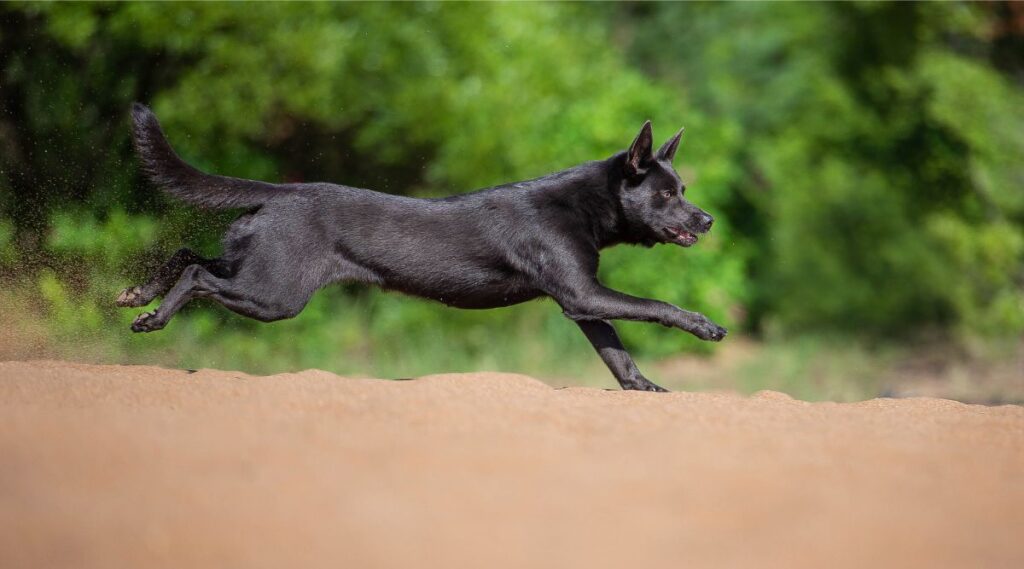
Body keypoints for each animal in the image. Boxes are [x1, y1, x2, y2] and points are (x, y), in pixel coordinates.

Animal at [119, 104, 724, 390]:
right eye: (668, 193)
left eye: (683, 189)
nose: (708, 218)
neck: (584, 205)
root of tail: (280, 191)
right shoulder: (582, 293)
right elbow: (655, 307)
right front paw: (706, 326)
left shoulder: (583, 303)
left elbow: (616, 351)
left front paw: (647, 390)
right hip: (275, 295)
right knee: (198, 276)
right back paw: (151, 319)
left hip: (257, 269)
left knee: (189, 256)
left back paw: (136, 295)